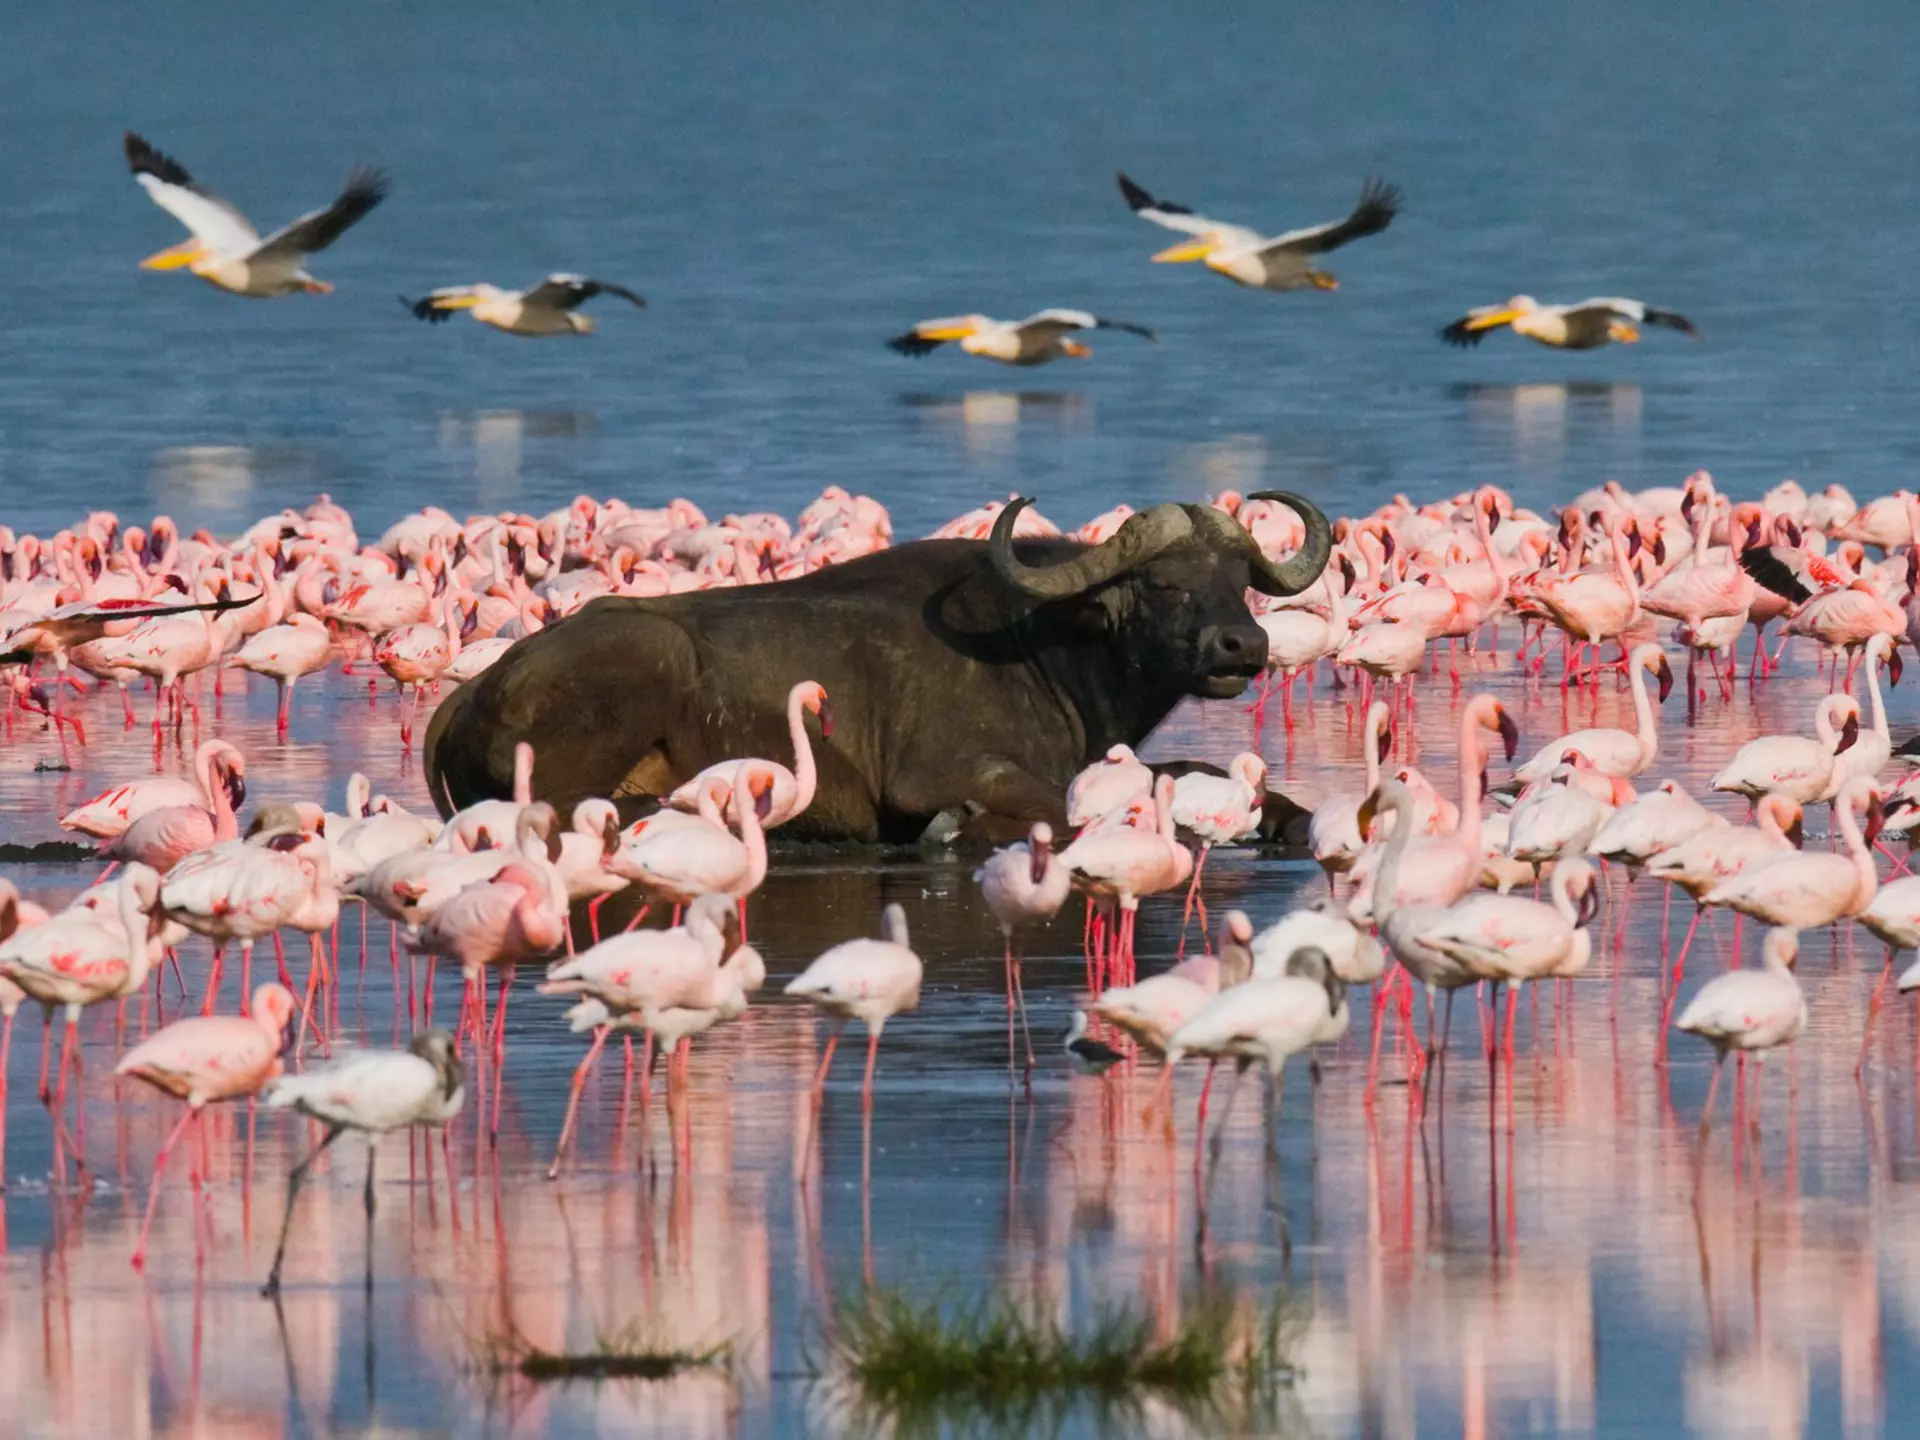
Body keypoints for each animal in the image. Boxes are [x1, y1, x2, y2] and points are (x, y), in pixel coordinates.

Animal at [424, 493, 1330, 843]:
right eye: (1165, 583)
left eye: (1239, 580)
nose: (1243, 648)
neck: (1044, 647)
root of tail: (472, 692)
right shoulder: (945, 774)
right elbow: (1060, 810)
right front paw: (958, 830)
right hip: (644, 663)